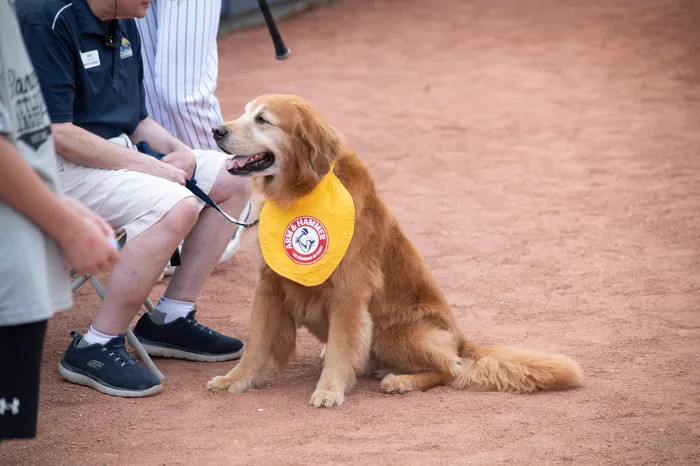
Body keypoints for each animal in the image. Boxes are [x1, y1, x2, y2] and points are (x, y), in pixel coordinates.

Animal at [206, 94, 580, 408]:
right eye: (244, 112)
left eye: (263, 119)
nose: (216, 130)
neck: (303, 191)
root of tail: (461, 338)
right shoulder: (270, 284)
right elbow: (257, 342)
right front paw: (236, 380)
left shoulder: (349, 291)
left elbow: (341, 347)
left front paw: (329, 390)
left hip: (391, 332)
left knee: (453, 369)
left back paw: (401, 381)